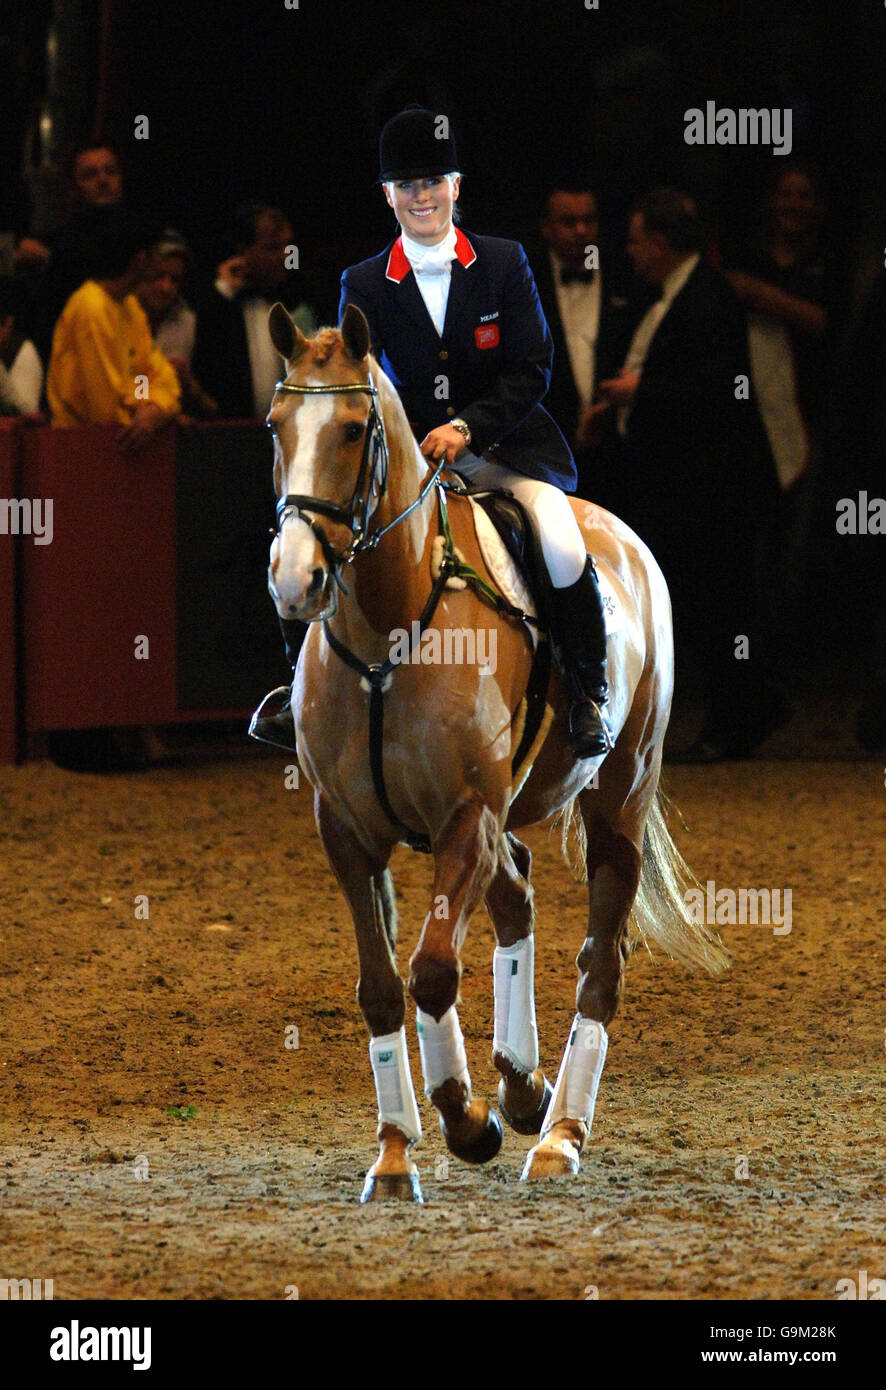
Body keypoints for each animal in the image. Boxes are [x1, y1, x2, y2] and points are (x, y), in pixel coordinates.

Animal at [262, 298, 723, 1200]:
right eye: (275, 427)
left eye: (353, 429)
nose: (294, 582)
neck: (387, 630)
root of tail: (620, 535)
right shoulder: (347, 832)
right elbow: (380, 989)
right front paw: (395, 1154)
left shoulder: (464, 821)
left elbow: (433, 971)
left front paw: (466, 1123)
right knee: (519, 900)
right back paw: (523, 1085)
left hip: (620, 794)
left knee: (599, 961)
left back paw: (559, 1134)